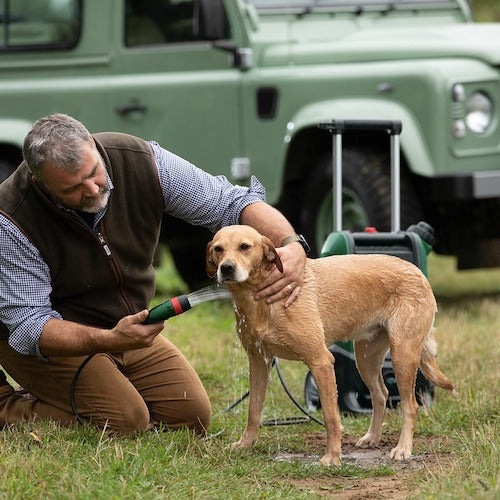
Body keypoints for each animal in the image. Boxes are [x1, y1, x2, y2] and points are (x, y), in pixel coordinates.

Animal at [205, 225, 456, 466]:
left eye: (244, 246)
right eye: (218, 249)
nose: (226, 268)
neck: (260, 301)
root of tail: (418, 272)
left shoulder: (321, 361)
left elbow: (330, 416)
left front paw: (333, 457)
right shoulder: (258, 362)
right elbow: (253, 411)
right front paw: (245, 444)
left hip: (402, 355)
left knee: (410, 405)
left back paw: (403, 449)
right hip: (366, 358)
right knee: (381, 395)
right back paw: (372, 437)